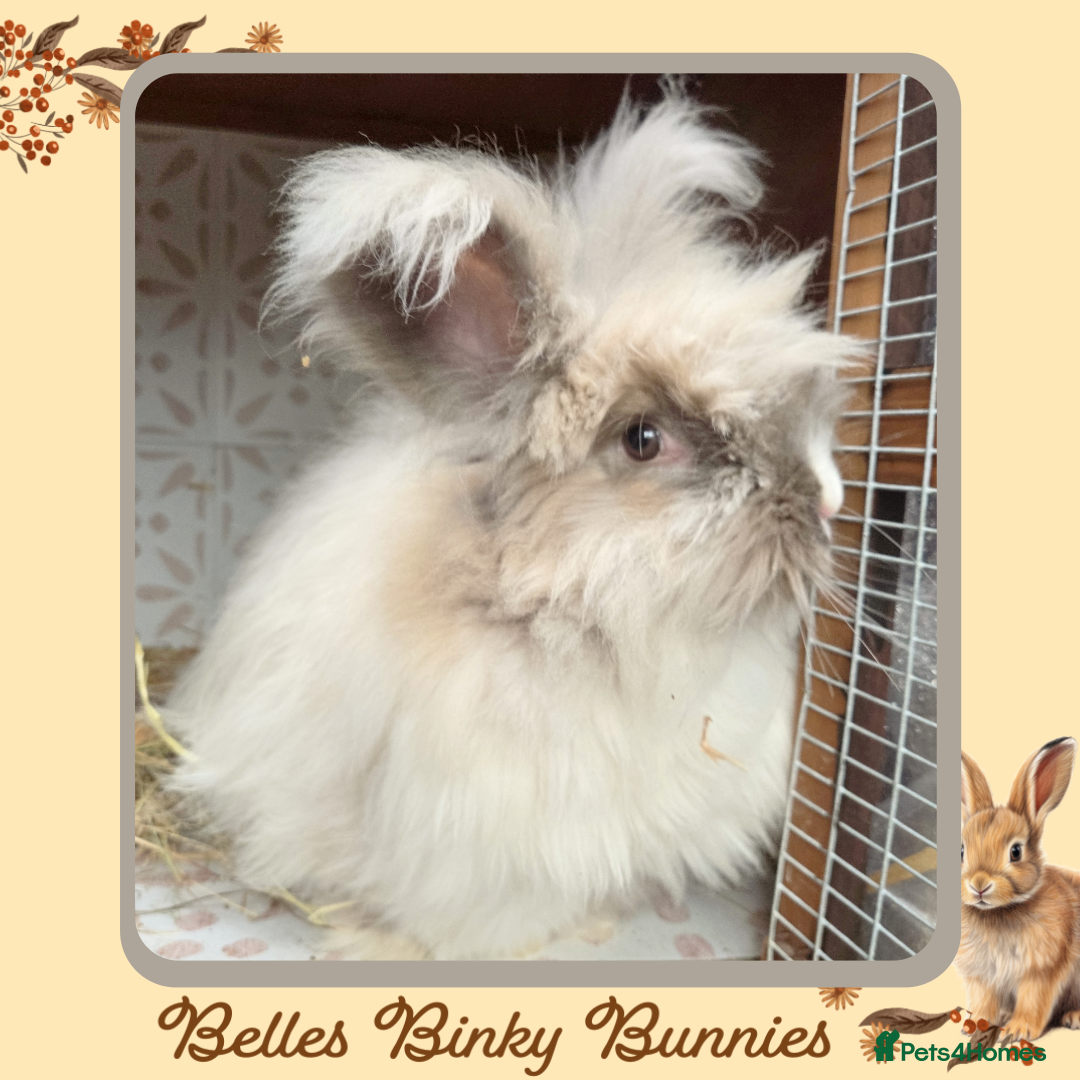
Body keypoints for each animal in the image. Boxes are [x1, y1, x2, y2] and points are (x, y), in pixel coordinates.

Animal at [957, 738, 1080, 1039]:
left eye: (1015, 851)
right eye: (962, 851)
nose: (979, 885)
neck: (999, 912)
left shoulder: (1041, 971)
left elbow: (1033, 1000)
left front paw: (1017, 1032)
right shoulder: (983, 976)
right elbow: (983, 1001)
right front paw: (974, 1026)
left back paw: (1074, 1017)